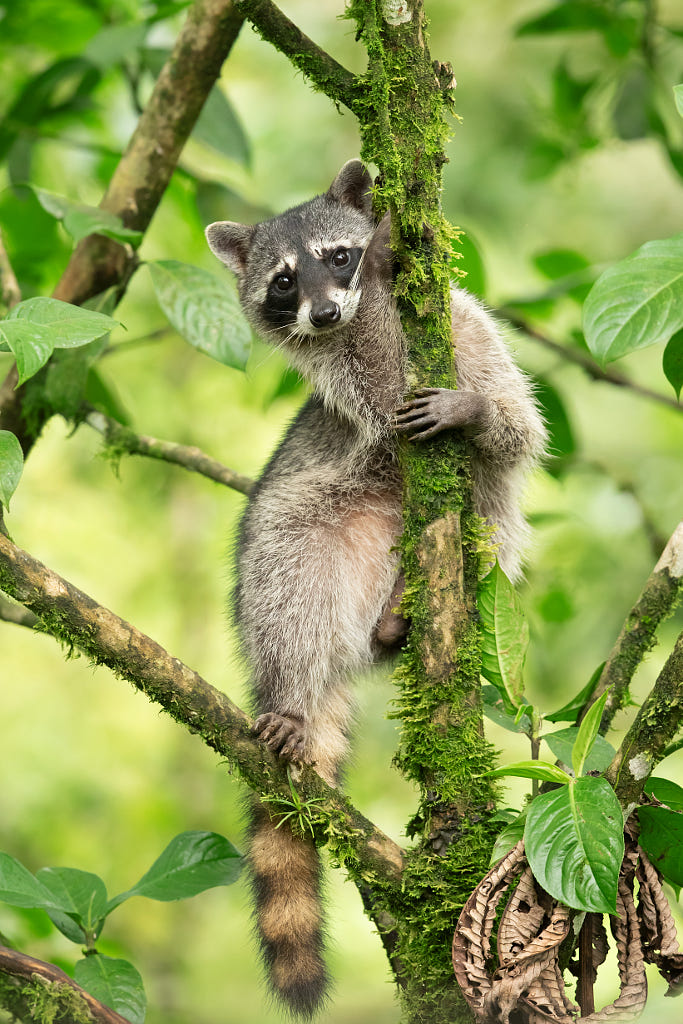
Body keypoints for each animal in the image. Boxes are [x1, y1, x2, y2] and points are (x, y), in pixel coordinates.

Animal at [206, 160, 546, 1017]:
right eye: (282, 281)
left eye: (337, 257)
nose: (325, 311)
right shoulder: (349, 376)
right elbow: (380, 378)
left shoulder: (475, 338)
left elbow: (514, 429)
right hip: (304, 535)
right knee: (285, 579)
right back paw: (298, 690)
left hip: (477, 534)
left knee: (488, 532)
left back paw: (399, 615)